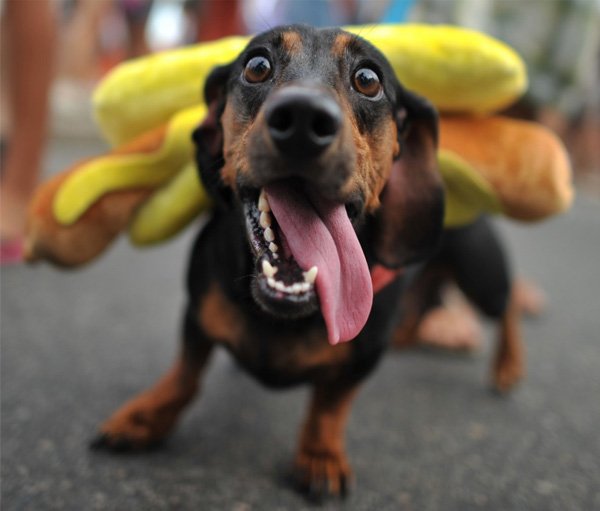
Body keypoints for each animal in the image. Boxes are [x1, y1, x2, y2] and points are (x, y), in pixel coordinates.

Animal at [91, 26, 516, 498]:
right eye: (257, 66)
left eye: (368, 78)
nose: (302, 121)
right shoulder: (198, 312)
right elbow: (185, 373)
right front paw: (145, 417)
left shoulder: (362, 358)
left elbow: (330, 405)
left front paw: (320, 455)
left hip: (482, 275)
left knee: (509, 305)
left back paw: (507, 367)